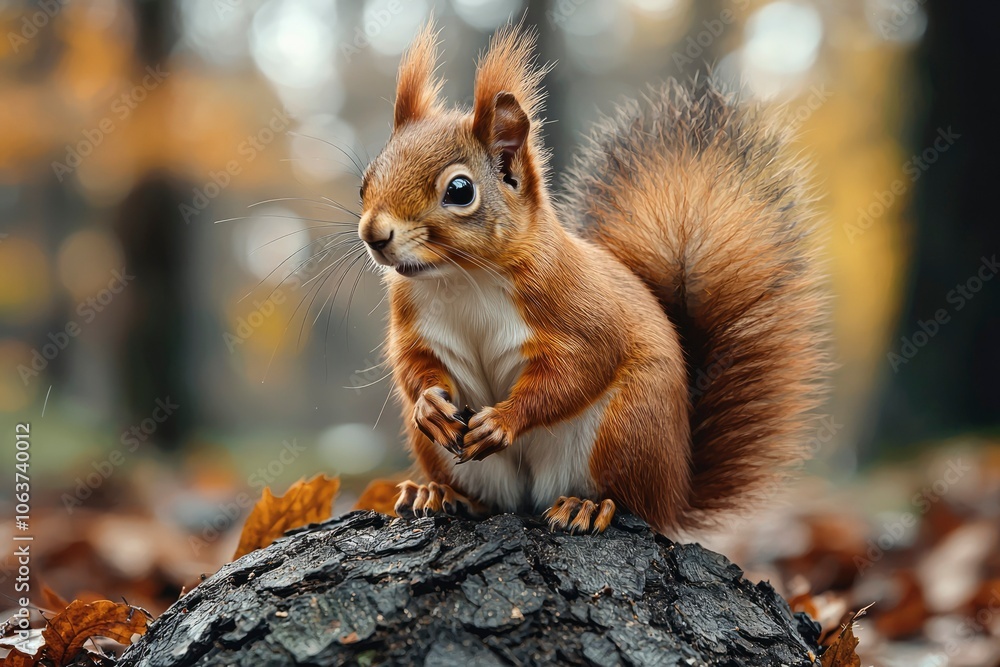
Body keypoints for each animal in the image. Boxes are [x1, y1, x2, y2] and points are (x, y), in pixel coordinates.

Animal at [355, 21, 827, 535]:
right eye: (365, 181)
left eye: (460, 190)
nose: (374, 234)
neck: (461, 278)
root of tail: (676, 491)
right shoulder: (413, 320)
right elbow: (413, 364)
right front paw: (429, 406)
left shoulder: (574, 304)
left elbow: (582, 365)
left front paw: (503, 421)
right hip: (455, 459)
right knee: (488, 498)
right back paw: (439, 493)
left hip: (626, 429)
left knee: (629, 500)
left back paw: (589, 505)